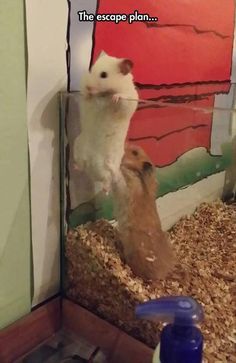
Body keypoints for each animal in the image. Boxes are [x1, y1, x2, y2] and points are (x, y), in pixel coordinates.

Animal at [74, 51, 138, 195]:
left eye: (104, 75)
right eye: (91, 70)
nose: (89, 87)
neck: (104, 94)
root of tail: (92, 170)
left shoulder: (130, 101)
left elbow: (122, 99)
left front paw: (115, 98)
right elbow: (85, 96)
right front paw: (87, 94)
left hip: (110, 165)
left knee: (108, 179)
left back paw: (105, 191)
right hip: (78, 148)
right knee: (81, 164)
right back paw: (76, 167)